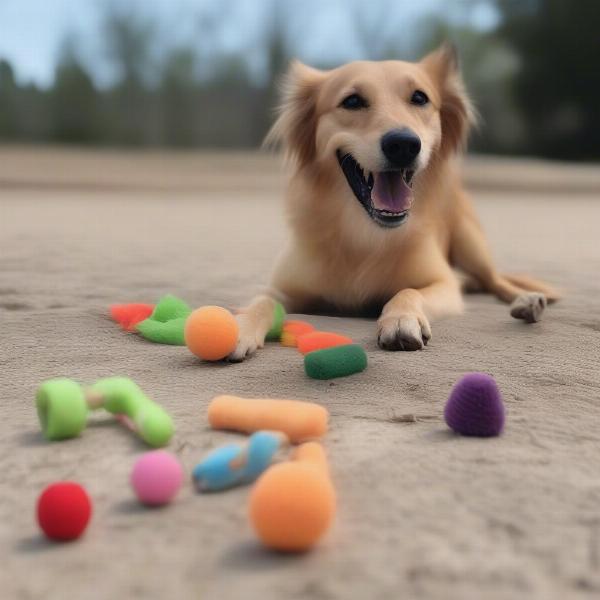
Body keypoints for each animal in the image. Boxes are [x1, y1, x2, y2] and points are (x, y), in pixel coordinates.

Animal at [226, 44, 556, 364]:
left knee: (494, 280)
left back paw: (527, 300)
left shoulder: (443, 284)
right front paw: (240, 327)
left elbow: (408, 291)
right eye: (352, 101)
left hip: (470, 244)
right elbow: (262, 300)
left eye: (420, 97)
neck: (364, 234)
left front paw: (400, 320)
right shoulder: (284, 288)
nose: (403, 145)